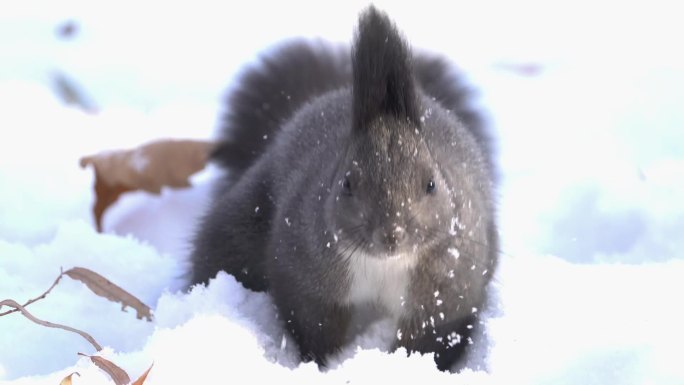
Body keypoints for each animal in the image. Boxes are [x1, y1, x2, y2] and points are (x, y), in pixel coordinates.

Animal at [190, 6, 500, 370]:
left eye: (431, 184)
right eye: (347, 183)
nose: (391, 234)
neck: (384, 265)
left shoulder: (447, 282)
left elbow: (432, 335)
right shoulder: (306, 267)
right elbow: (313, 322)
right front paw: (323, 365)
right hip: (237, 230)